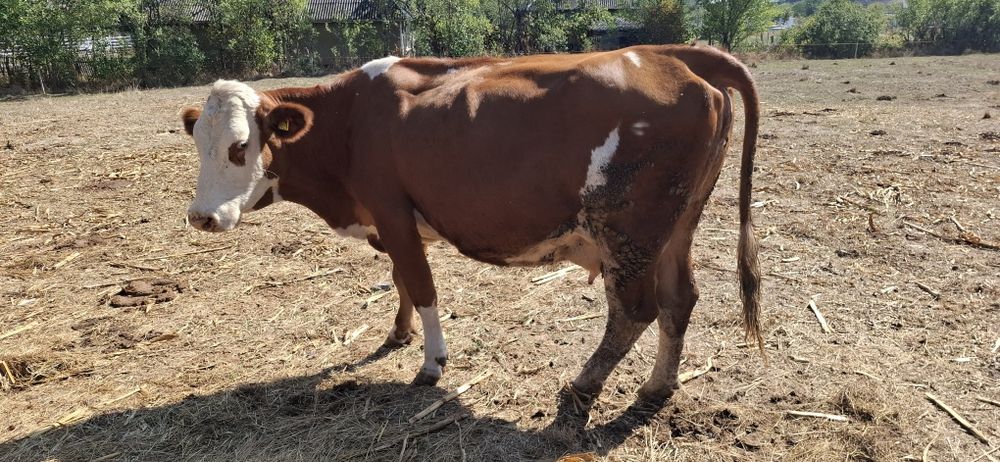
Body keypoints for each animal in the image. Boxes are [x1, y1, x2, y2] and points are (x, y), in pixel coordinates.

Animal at [180, 45, 762, 404]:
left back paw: (585, 383)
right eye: (198, 144)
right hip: (677, 227)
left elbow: (421, 286)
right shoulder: (395, 222)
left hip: (629, 232)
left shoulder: (392, 213)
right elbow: (401, 282)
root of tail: (672, 54)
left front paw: (432, 361)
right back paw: (658, 387)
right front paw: (398, 333)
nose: (201, 217)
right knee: (680, 300)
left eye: (240, 147)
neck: (349, 122)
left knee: (634, 312)